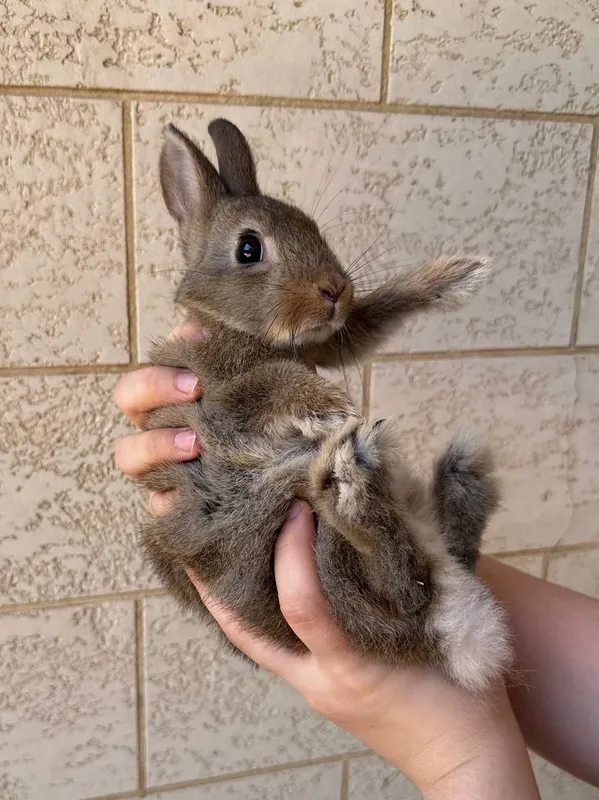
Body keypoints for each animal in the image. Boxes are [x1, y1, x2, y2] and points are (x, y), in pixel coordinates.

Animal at [138, 118, 512, 693]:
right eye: (249, 249)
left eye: (313, 228)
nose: (335, 290)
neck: (235, 327)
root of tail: (454, 641)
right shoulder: (218, 399)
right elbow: (266, 384)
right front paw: (332, 406)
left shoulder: (328, 343)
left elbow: (375, 314)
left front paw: (456, 275)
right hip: (306, 551)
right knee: (402, 589)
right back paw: (355, 482)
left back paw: (453, 477)